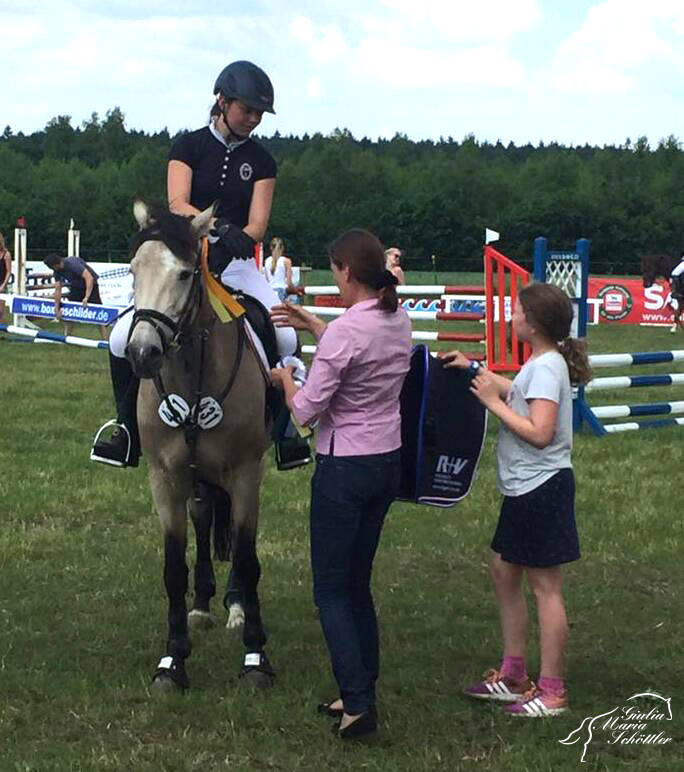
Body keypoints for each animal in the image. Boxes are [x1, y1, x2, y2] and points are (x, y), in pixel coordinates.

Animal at [126, 200, 275, 692]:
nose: (143, 354)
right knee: (206, 518)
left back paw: (234, 607)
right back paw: (203, 605)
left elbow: (247, 559)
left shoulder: (246, 473)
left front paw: (255, 657)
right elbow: (174, 567)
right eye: (132, 271)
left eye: (186, 273)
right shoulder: (165, 478)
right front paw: (172, 661)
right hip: (195, 477)